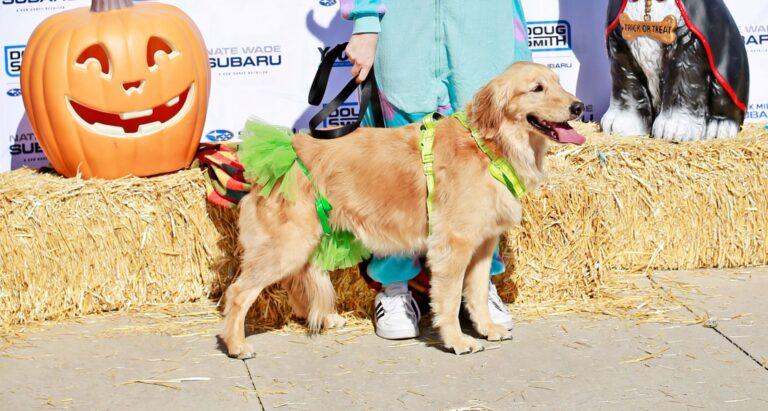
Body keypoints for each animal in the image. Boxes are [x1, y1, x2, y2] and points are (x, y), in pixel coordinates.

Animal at [222, 60, 588, 358]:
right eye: (537, 88)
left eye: (558, 82)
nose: (579, 105)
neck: (489, 145)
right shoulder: (453, 245)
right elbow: (450, 299)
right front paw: (457, 340)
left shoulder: (483, 245)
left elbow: (477, 293)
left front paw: (486, 327)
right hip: (289, 243)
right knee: (239, 292)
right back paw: (236, 345)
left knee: (297, 283)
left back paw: (323, 318)